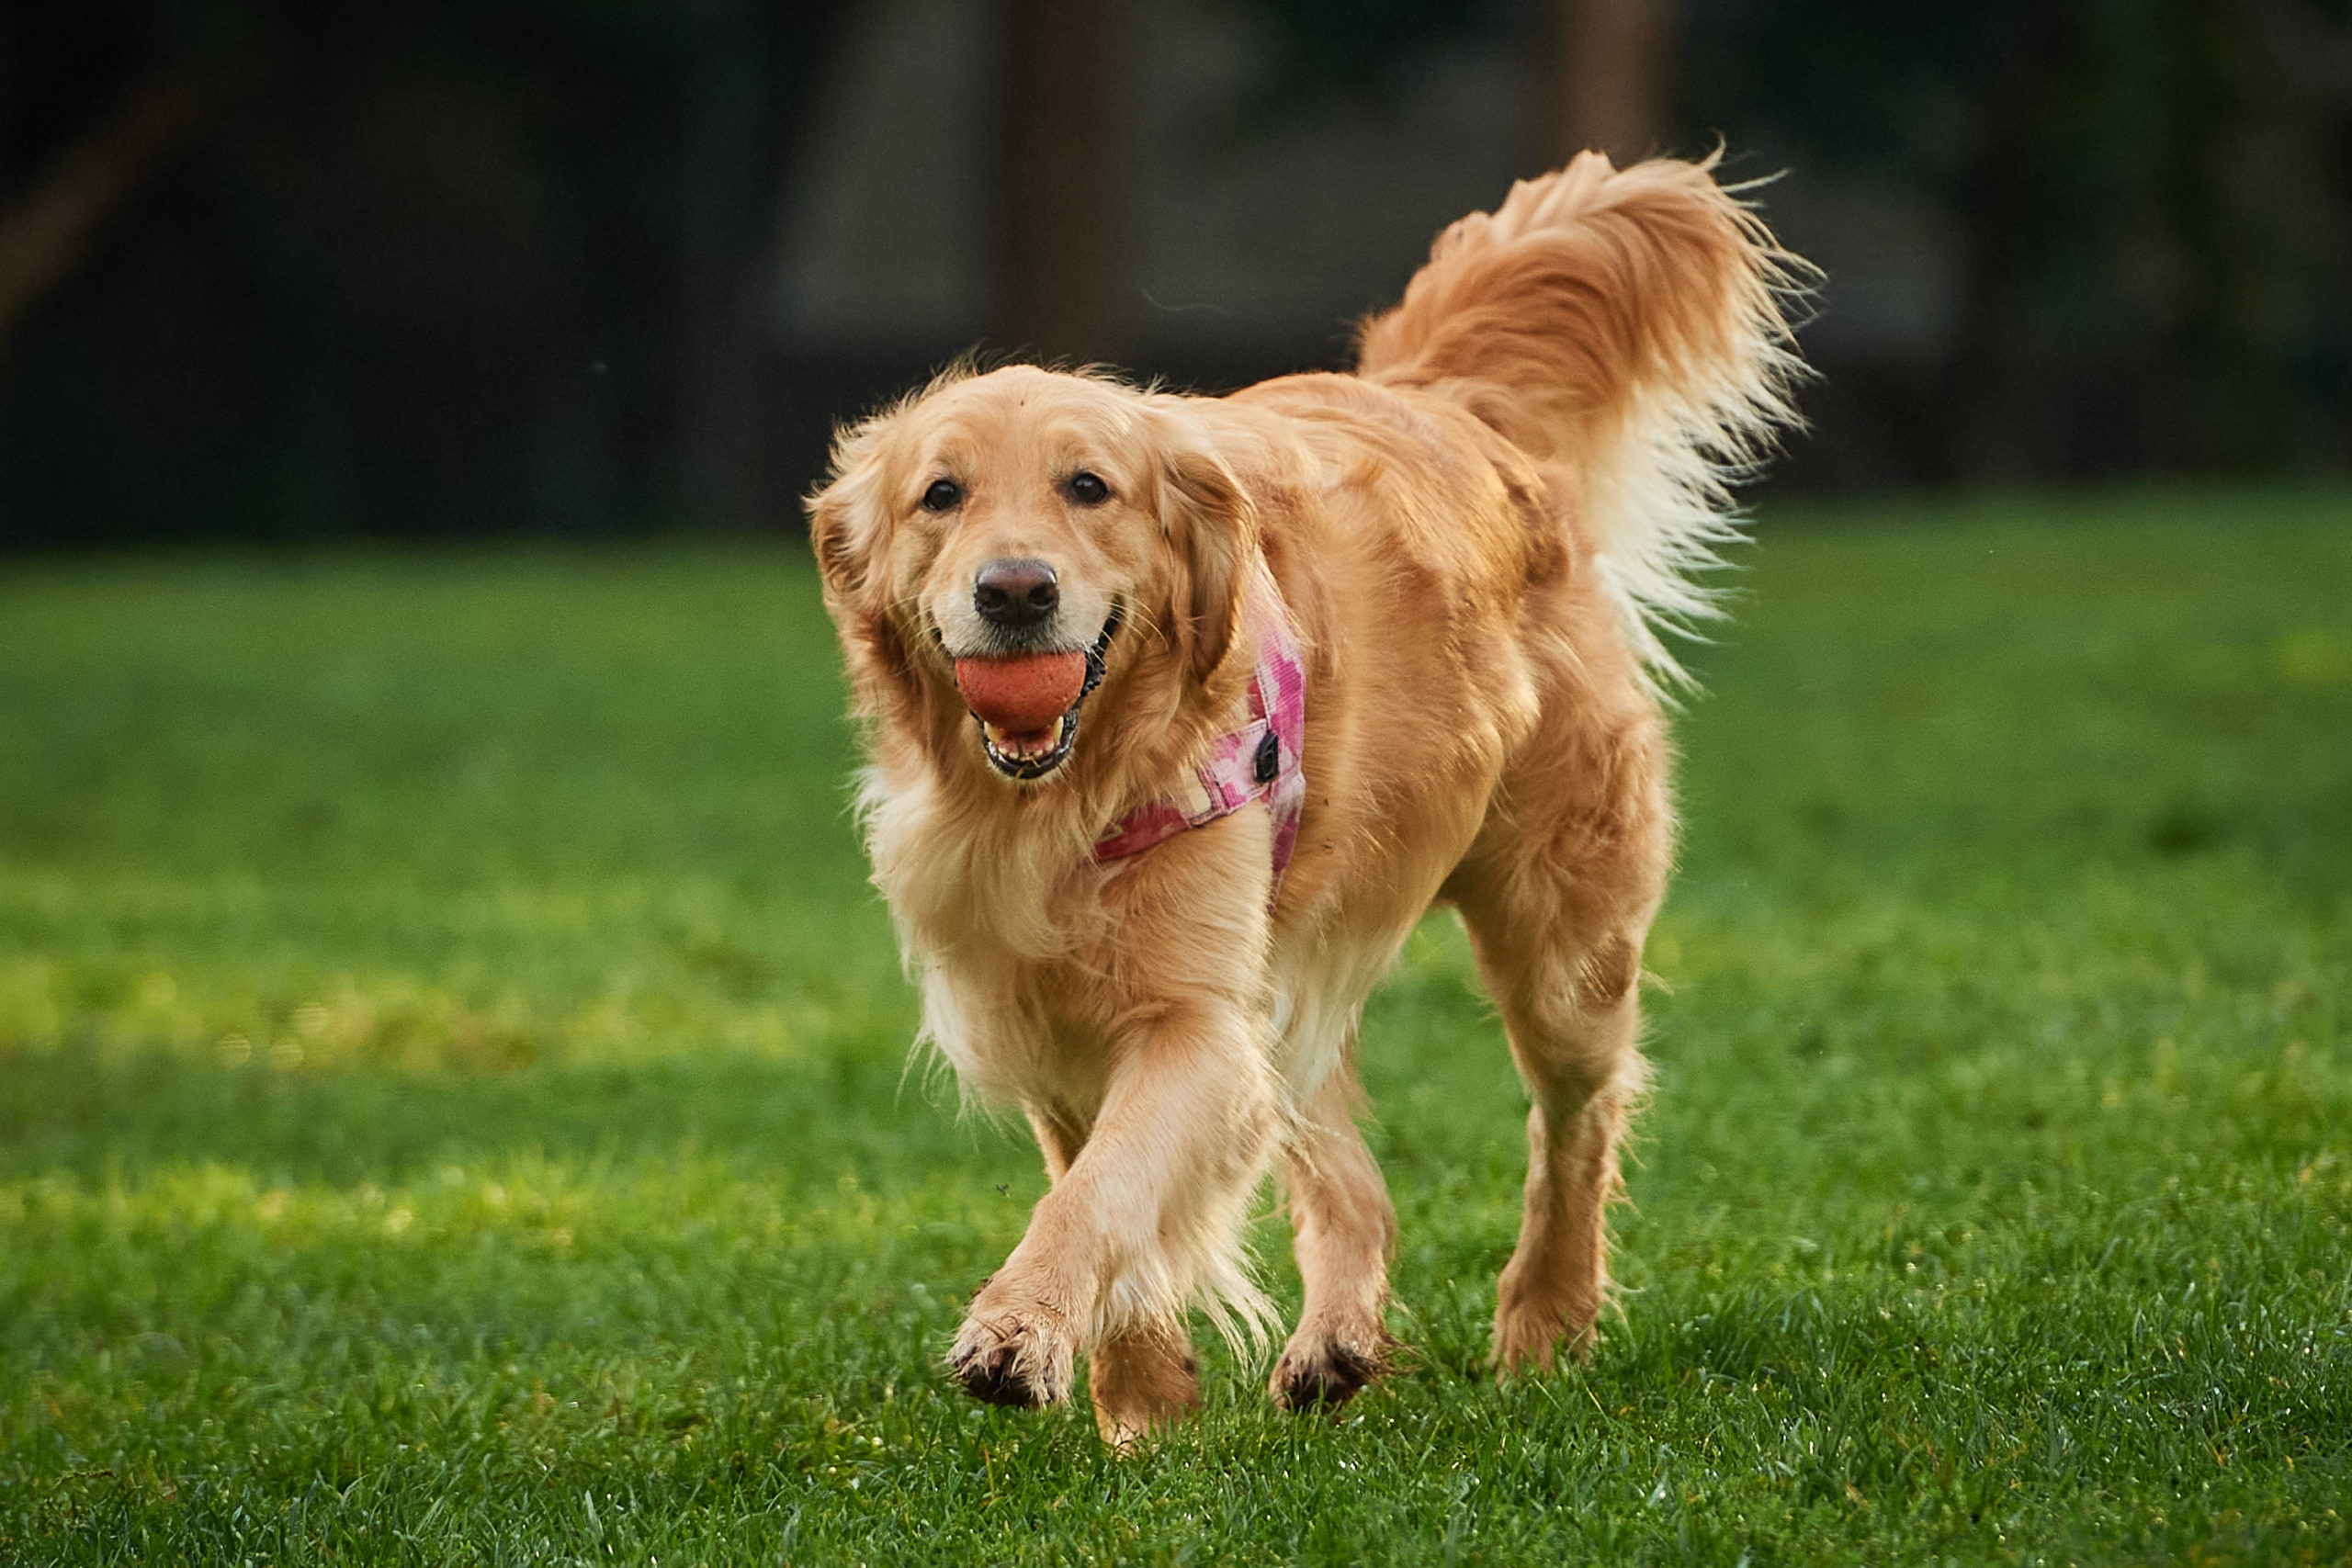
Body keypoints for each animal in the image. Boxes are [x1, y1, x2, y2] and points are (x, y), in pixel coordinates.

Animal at [808, 150, 1796, 1448]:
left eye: (1089, 486)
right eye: (940, 496)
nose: (1014, 593)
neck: (1067, 795)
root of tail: (1440, 400)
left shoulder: (1189, 1016)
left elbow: (1100, 1191)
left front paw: (1018, 1333)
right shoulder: (1058, 1009)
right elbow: (1108, 1189)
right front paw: (1146, 1406)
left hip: (1562, 936)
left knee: (1577, 1116)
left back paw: (1546, 1320)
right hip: (1293, 962)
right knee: (1354, 1179)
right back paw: (1335, 1345)